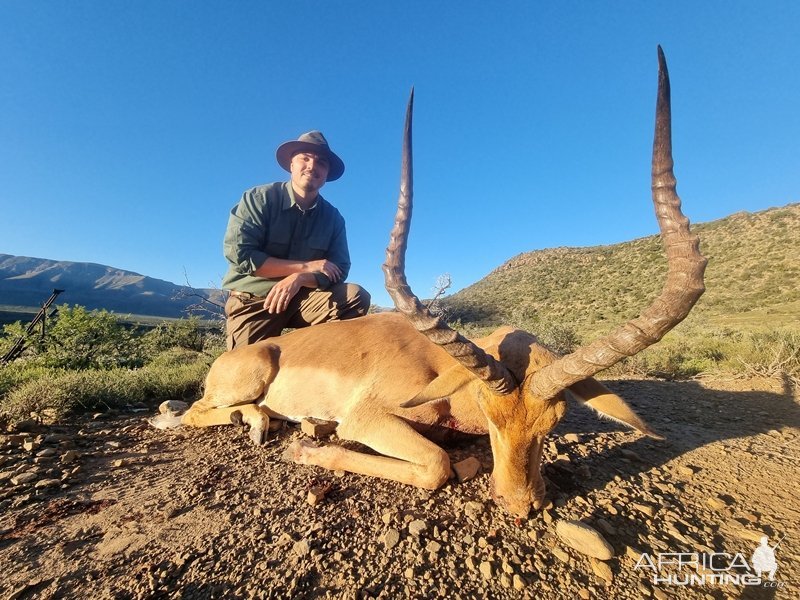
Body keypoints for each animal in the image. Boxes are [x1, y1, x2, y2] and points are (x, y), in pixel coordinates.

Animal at [153, 47, 704, 516]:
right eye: (487, 412)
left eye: (554, 423)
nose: (522, 506)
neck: (436, 364)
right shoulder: (367, 418)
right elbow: (438, 464)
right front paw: (307, 450)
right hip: (247, 377)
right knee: (196, 411)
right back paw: (263, 423)